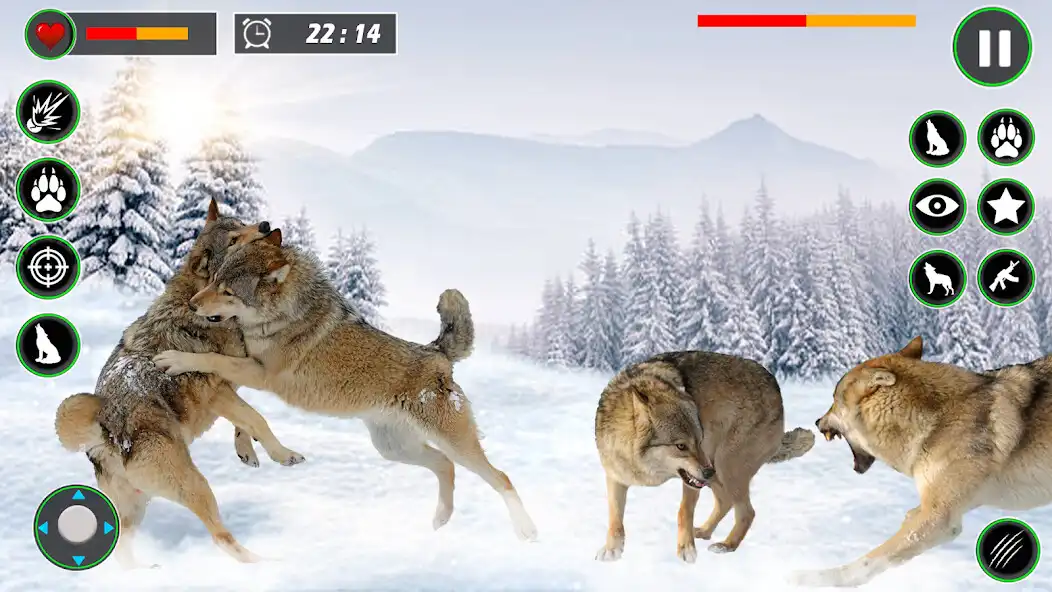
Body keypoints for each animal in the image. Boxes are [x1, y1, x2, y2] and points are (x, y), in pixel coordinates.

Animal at [54, 199, 304, 567]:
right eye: (233, 240)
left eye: (240, 223)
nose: (265, 226)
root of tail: (106, 435)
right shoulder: (220, 389)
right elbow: (258, 419)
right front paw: (283, 455)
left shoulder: (232, 384)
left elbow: (246, 422)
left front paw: (247, 452)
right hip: (196, 486)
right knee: (221, 537)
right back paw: (263, 564)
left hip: (135, 511)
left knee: (120, 546)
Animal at [152, 233, 539, 541]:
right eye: (214, 279)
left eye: (228, 291)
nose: (192, 304)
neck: (283, 315)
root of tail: (437, 352)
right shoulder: (247, 366)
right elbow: (242, 410)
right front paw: (247, 447)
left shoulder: (261, 373)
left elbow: (212, 362)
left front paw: (175, 359)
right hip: (394, 449)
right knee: (445, 466)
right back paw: (441, 519)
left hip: (454, 445)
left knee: (501, 477)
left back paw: (526, 530)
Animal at [593, 352, 815, 563]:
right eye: (681, 446)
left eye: (699, 441)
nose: (709, 471)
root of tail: (776, 386)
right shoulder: (615, 476)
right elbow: (615, 518)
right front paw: (612, 550)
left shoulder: (692, 481)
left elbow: (684, 512)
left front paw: (686, 551)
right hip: (718, 470)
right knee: (726, 501)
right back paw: (704, 532)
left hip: (726, 466)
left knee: (747, 512)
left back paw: (726, 545)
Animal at [793, 336, 1052, 587]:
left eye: (834, 400)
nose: (817, 421)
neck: (935, 420)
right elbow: (906, 521)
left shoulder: (939, 518)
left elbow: (870, 560)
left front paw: (815, 578)